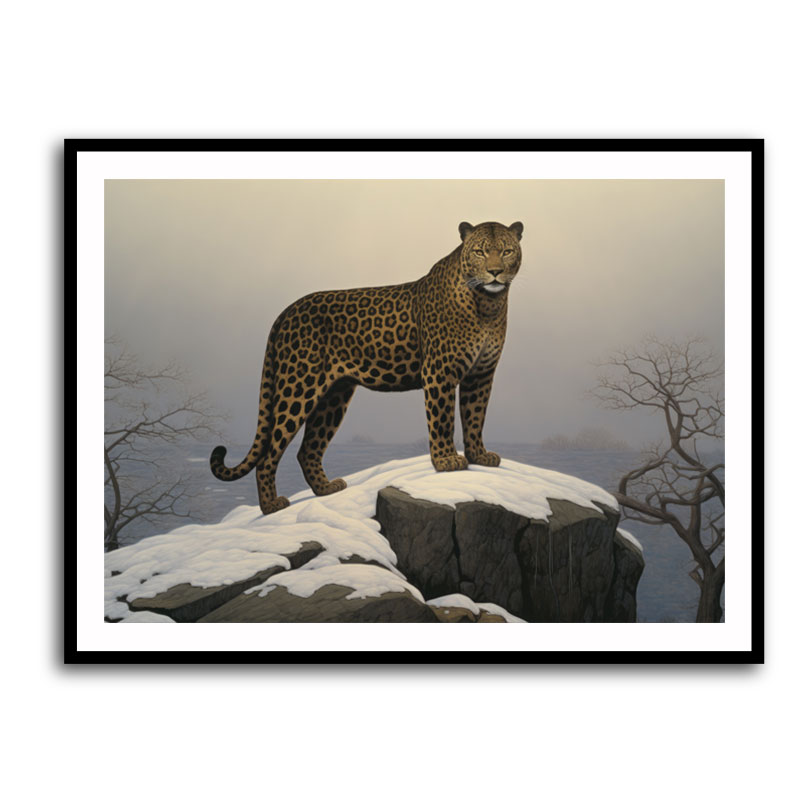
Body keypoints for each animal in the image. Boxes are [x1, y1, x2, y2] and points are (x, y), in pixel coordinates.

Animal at [210, 220, 524, 514]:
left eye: (507, 251)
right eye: (480, 251)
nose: (495, 272)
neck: (488, 304)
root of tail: (285, 312)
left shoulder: (481, 374)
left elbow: (475, 417)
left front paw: (479, 456)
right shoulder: (439, 372)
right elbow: (442, 419)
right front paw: (446, 460)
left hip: (334, 396)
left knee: (308, 449)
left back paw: (326, 489)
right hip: (298, 387)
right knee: (269, 454)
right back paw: (271, 506)